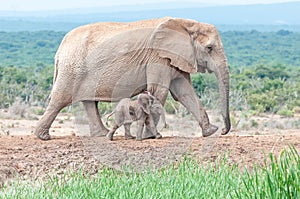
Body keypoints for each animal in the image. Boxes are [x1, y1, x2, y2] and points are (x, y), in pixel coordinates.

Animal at [35, 17, 232, 141]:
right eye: (209, 48)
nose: (223, 131)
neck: (186, 24)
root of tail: (60, 49)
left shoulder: (176, 58)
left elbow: (184, 93)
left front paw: (210, 132)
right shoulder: (158, 56)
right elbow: (159, 91)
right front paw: (150, 137)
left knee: (89, 101)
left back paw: (102, 135)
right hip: (72, 69)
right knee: (61, 99)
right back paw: (43, 137)